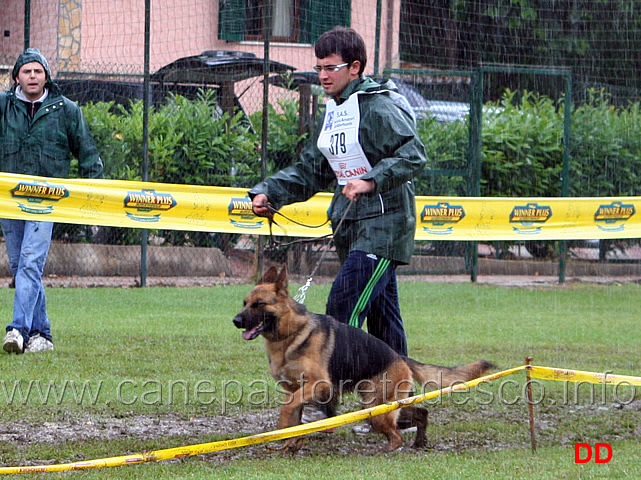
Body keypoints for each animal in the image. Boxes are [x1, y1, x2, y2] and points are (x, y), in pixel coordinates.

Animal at [232, 264, 492, 452]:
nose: (235, 321)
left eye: (259, 304)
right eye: (244, 303)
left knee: (397, 434)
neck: (291, 333)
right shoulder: (294, 389)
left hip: (376, 405)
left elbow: (288, 409)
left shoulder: (318, 384)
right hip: (378, 403)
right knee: (420, 413)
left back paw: (388, 450)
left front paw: (282, 431)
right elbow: (295, 418)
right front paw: (291, 443)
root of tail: (400, 356)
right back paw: (419, 443)